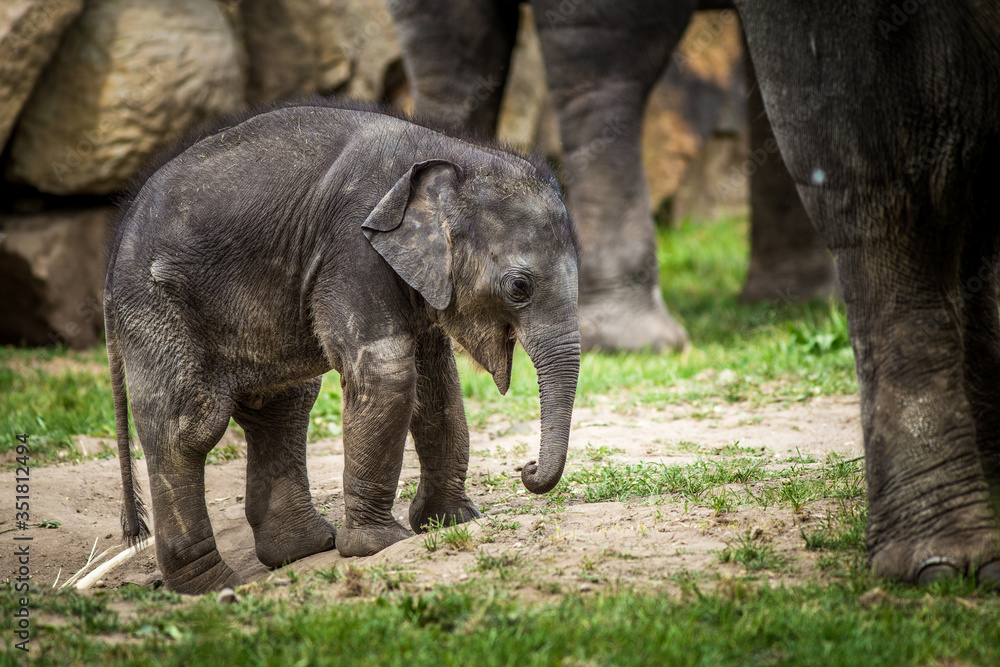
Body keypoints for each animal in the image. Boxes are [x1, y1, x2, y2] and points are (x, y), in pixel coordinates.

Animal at [105, 98, 581, 594]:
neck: (451, 154)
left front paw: (452, 522)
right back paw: (214, 586)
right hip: (156, 307)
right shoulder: (352, 249)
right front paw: (380, 546)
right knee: (187, 428)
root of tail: (114, 249)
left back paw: (301, 550)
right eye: (519, 287)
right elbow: (388, 374)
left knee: (283, 408)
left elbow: (437, 384)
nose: (528, 469)